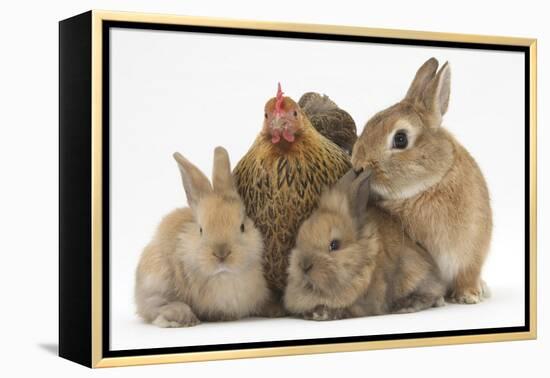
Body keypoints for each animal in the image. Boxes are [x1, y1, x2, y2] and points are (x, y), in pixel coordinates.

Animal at [354, 56, 496, 304]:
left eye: (401, 139)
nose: (357, 166)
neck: (426, 187)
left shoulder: (471, 251)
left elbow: (467, 273)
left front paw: (468, 296)